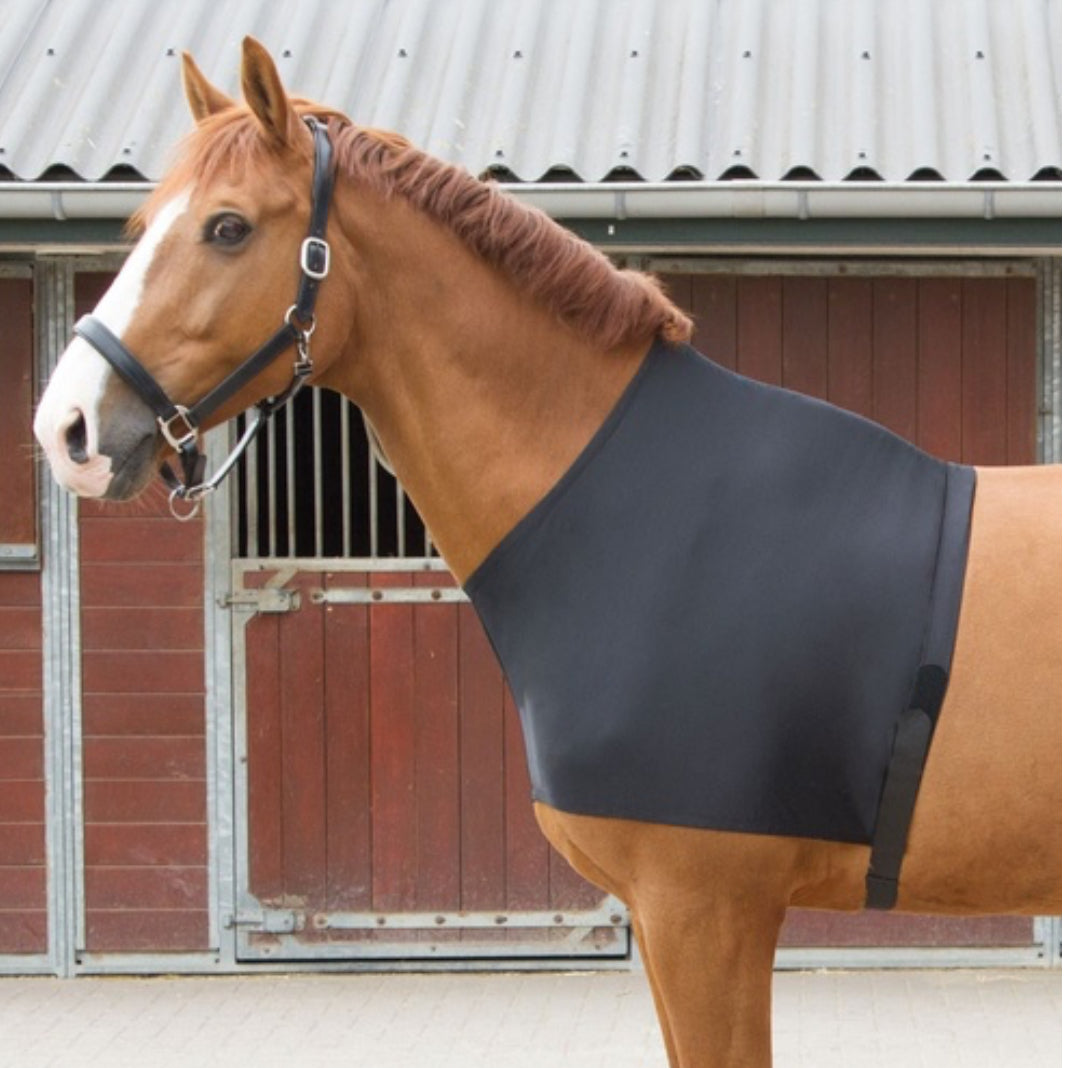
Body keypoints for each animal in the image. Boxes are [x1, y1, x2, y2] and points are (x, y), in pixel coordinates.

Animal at [33, 39, 1060, 1068]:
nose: (67, 428)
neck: (646, 515)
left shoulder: (704, 910)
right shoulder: (674, 918)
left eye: (228, 227)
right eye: (141, 223)